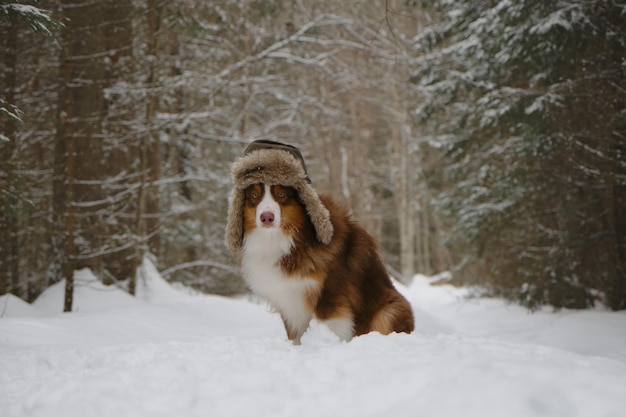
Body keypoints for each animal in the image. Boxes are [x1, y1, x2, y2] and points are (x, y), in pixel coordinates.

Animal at [225, 141, 414, 342]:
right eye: (254, 195)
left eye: (282, 194)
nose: (266, 217)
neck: (291, 241)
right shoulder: (290, 300)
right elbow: (295, 335)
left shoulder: (331, 296)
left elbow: (334, 326)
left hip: (391, 308)